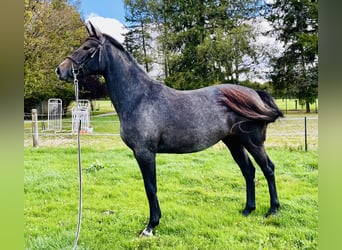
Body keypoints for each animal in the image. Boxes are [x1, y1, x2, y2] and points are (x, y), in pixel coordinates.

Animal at [56, 21, 282, 236]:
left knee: (268, 168)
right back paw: (248, 209)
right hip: (234, 142)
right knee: (248, 171)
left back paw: (273, 210)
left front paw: (151, 226)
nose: (60, 69)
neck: (139, 98)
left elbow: (150, 188)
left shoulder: (145, 153)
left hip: (253, 143)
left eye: (87, 48)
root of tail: (255, 94)